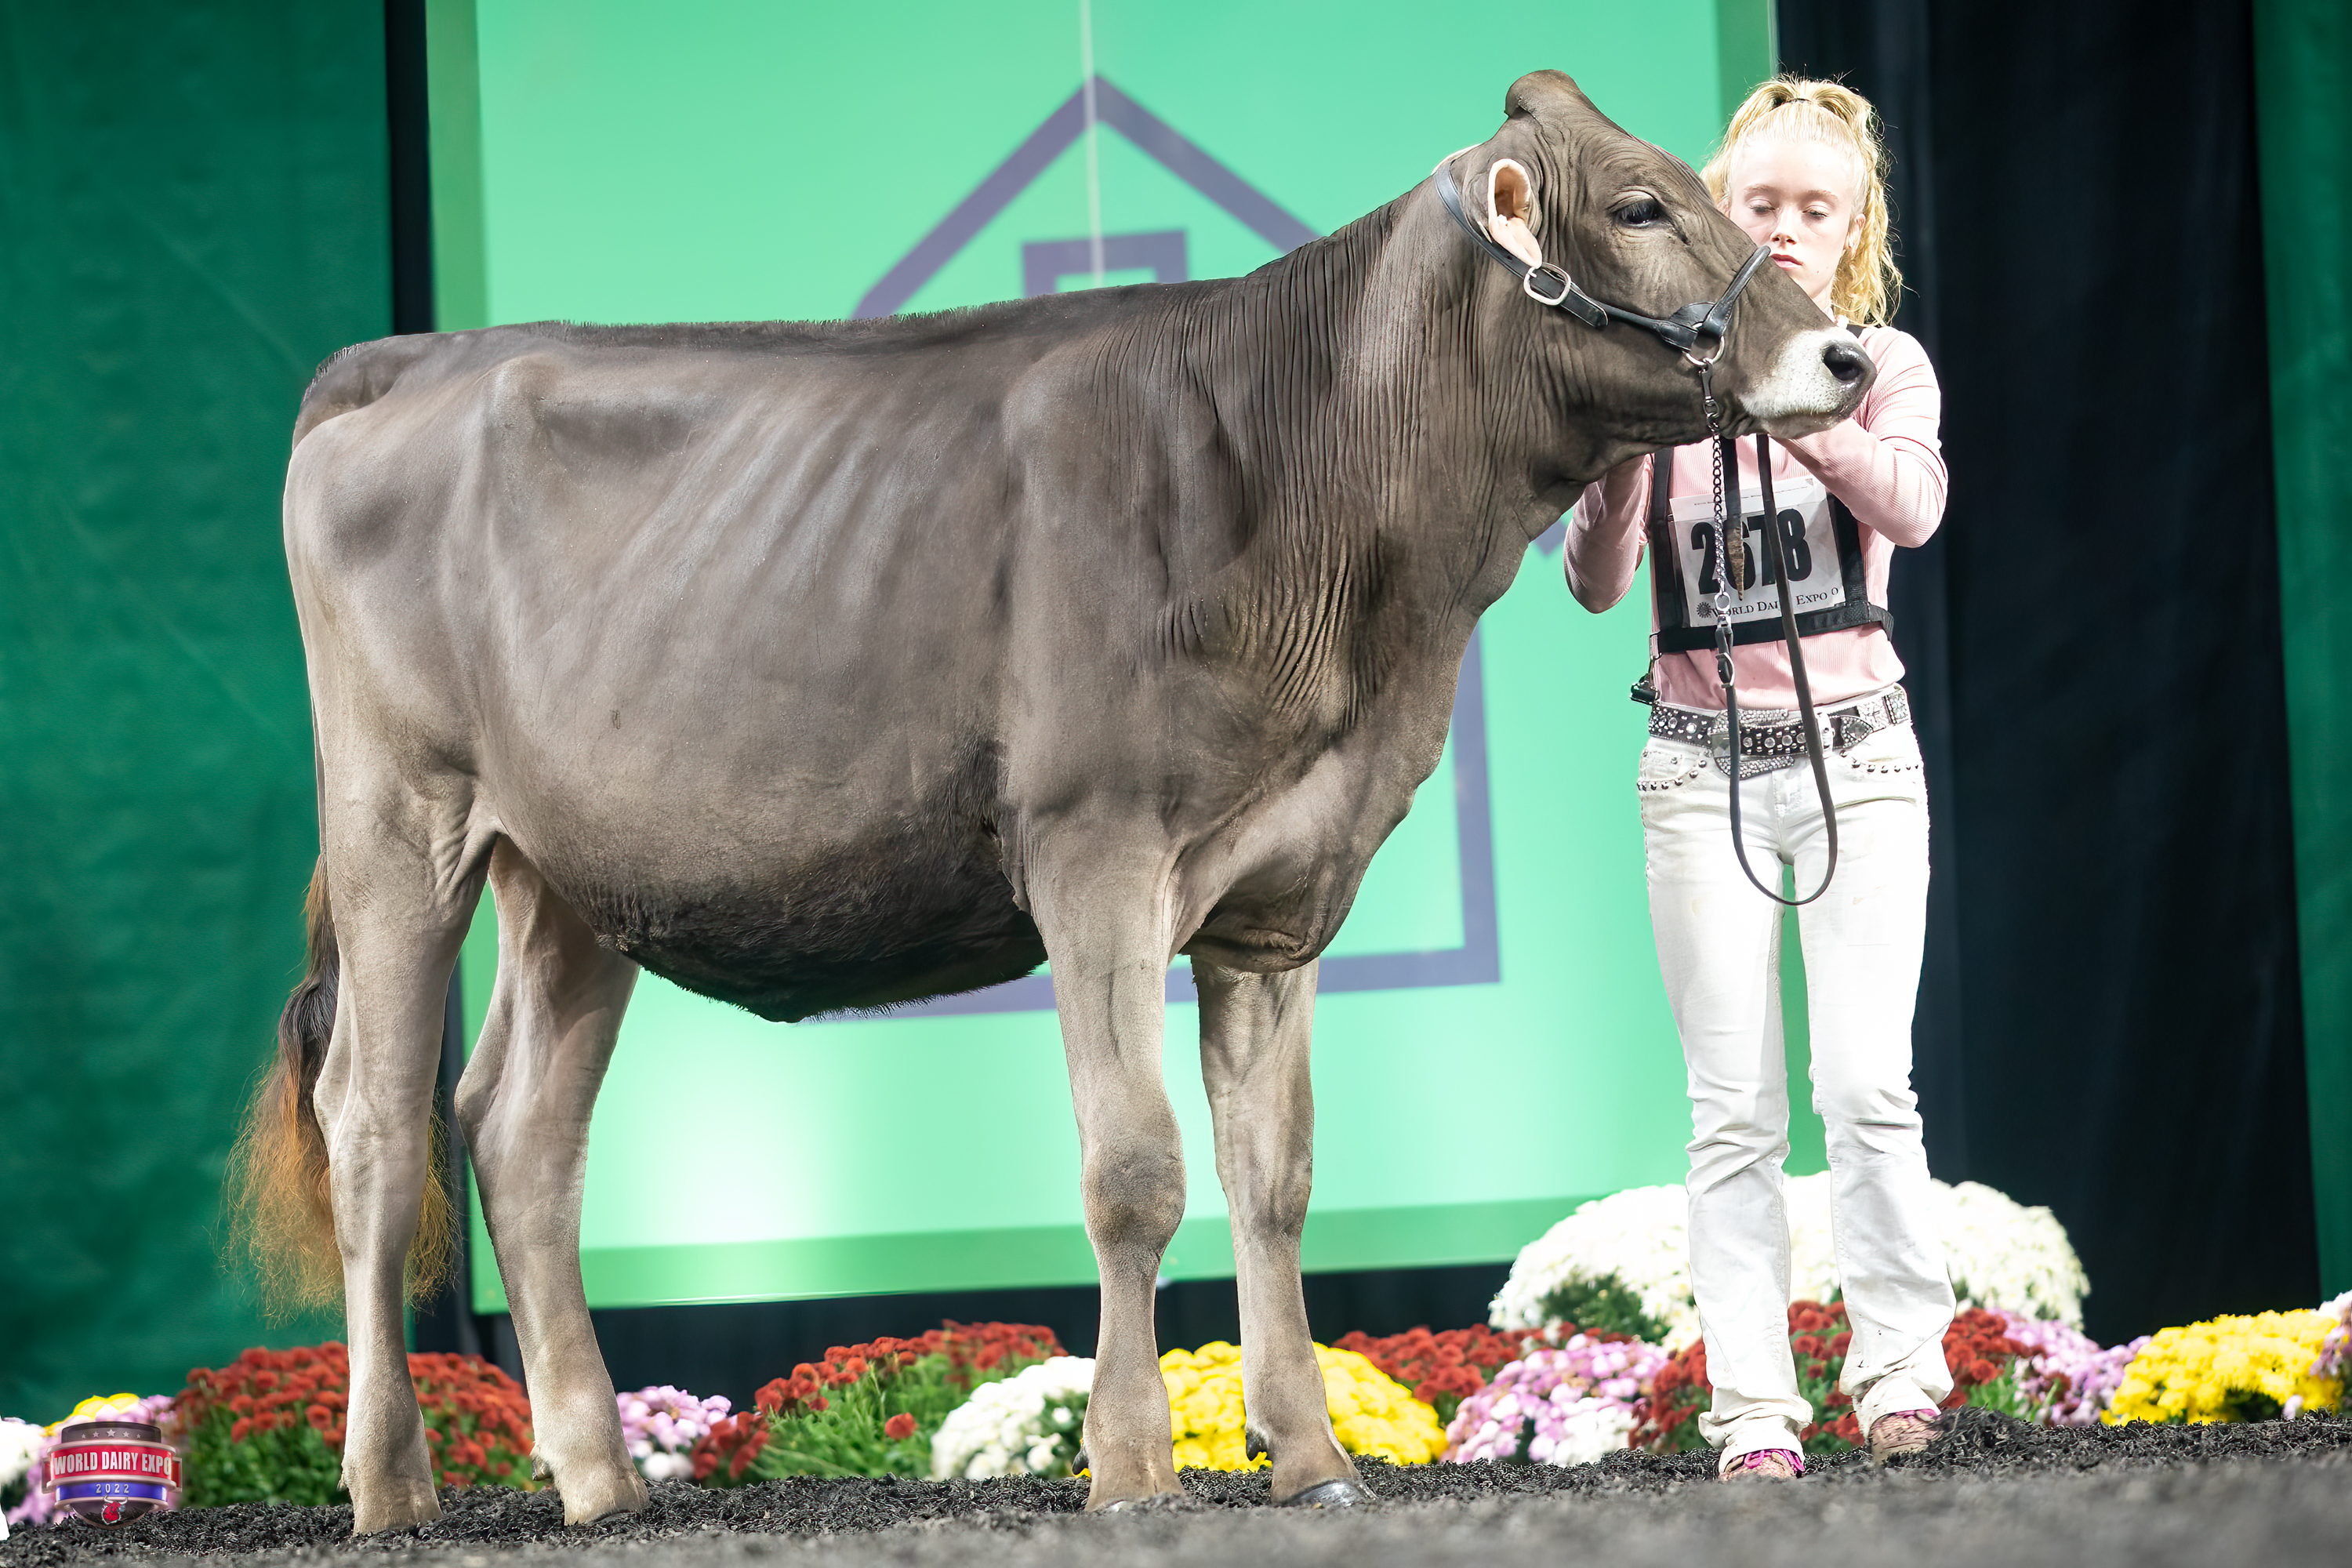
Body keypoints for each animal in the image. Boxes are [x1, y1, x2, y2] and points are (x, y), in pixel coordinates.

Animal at [239, 69, 1869, 1532]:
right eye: (1641, 205)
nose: (1847, 361)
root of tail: (405, 361)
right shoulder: (1099, 844)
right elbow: (1136, 1168)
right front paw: (1133, 1465)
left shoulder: (1281, 892)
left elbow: (1275, 1176)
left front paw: (1313, 1461)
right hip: (400, 817)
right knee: (376, 1124)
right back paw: (390, 1485)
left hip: (572, 874)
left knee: (517, 1131)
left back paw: (599, 1480)